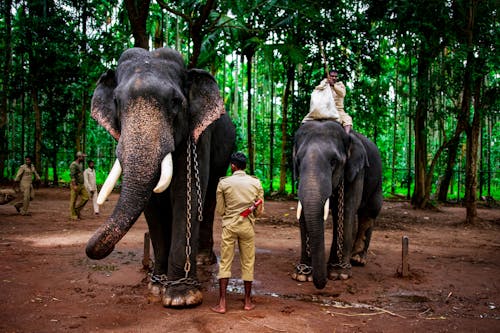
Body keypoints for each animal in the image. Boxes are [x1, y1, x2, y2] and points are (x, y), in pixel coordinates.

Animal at [88, 46, 236, 306]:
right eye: (116, 102)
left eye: (176, 101)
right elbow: (153, 205)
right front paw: (156, 286)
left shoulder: (197, 136)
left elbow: (186, 195)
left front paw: (182, 296)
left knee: (209, 198)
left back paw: (203, 259)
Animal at [292, 119, 380, 288]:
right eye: (298, 161)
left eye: (334, 161)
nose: (322, 284)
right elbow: (303, 212)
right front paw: (302, 275)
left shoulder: (357, 172)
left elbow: (346, 210)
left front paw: (339, 274)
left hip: (378, 182)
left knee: (370, 211)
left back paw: (357, 259)